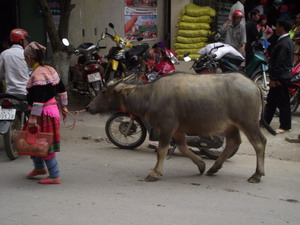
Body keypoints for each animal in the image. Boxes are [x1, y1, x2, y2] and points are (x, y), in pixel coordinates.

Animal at [86, 72, 274, 183]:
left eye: (104, 91)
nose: (88, 107)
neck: (151, 96)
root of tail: (254, 84)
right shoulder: (177, 130)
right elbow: (183, 147)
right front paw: (201, 165)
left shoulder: (167, 127)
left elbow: (162, 150)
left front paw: (155, 173)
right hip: (230, 125)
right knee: (233, 142)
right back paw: (213, 168)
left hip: (248, 122)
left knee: (259, 143)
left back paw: (256, 175)